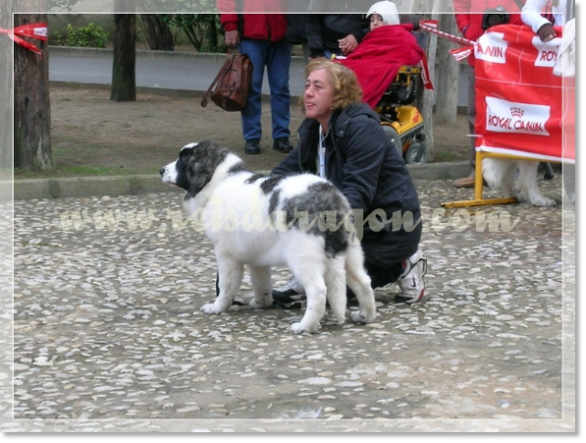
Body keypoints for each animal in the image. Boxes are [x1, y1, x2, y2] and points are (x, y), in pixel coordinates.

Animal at [157, 141, 376, 332]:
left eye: (183, 160)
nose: (161, 170)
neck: (217, 181)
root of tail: (327, 197)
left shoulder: (226, 254)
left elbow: (225, 285)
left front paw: (217, 307)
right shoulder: (257, 259)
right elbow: (261, 283)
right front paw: (262, 303)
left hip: (302, 255)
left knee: (318, 290)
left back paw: (305, 326)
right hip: (350, 251)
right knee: (363, 281)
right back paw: (365, 316)